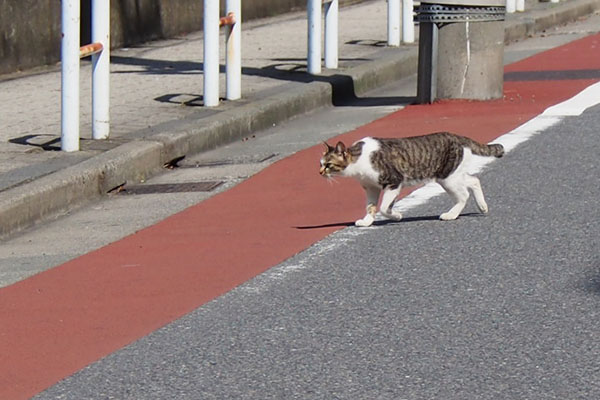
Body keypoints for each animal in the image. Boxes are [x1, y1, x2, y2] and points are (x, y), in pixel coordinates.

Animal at [322, 130, 504, 225]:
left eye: (328, 165)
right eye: (320, 163)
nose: (320, 172)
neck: (358, 160)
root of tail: (457, 136)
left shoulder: (394, 182)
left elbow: (384, 207)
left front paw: (396, 216)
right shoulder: (371, 187)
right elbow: (370, 207)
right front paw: (367, 221)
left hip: (448, 178)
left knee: (463, 195)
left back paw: (450, 215)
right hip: (452, 175)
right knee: (474, 180)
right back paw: (482, 206)